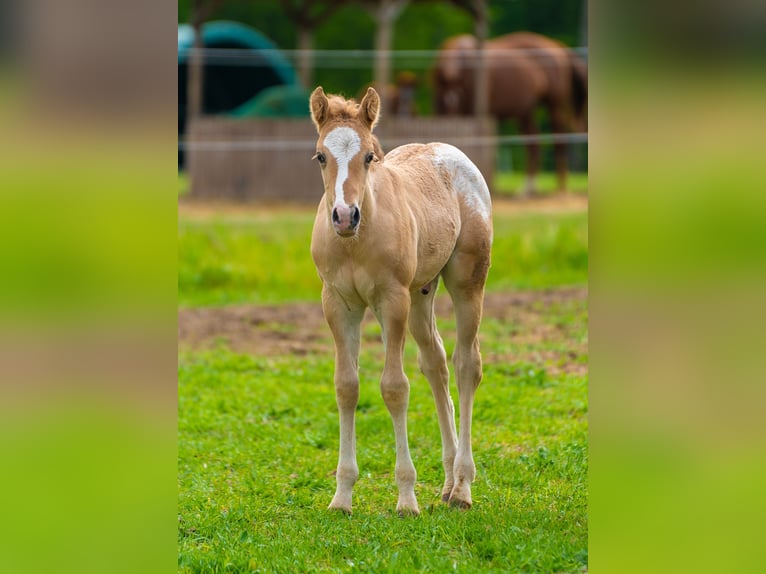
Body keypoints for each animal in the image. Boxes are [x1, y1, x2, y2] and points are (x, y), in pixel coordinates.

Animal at [309, 86, 493, 515]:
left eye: (369, 156)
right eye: (321, 156)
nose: (344, 216)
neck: (356, 242)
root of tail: (450, 151)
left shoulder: (391, 302)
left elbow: (394, 387)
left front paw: (406, 498)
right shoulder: (338, 304)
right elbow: (347, 386)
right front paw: (342, 496)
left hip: (466, 283)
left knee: (466, 364)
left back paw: (462, 487)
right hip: (420, 294)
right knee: (436, 363)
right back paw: (447, 483)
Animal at [433, 32, 587, 194]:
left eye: (457, 98)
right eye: (443, 102)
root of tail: (557, 46)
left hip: (554, 105)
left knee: (559, 139)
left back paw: (560, 188)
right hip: (526, 111)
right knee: (534, 142)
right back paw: (528, 187)